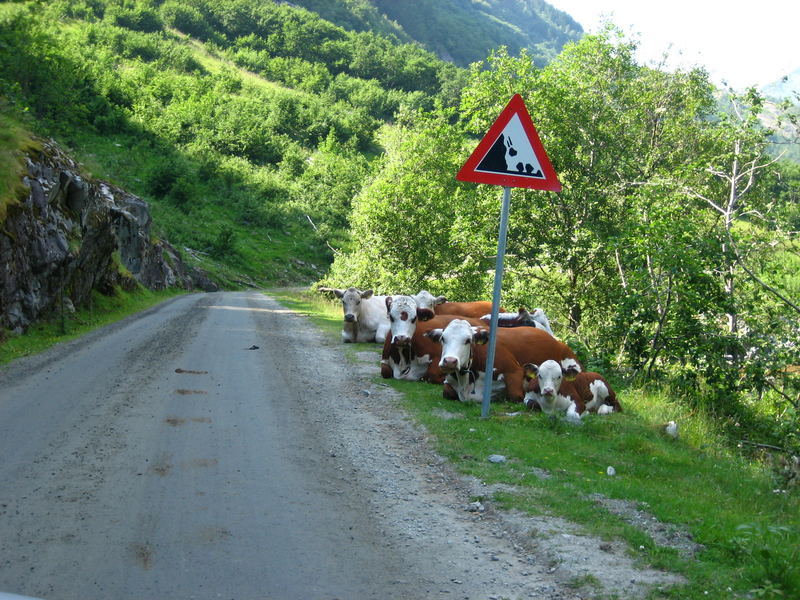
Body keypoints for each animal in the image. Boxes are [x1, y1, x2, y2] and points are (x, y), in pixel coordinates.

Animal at [424, 318, 580, 404]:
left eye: (468, 340)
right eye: (443, 338)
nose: (449, 361)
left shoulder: (514, 370)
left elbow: (515, 395)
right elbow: (447, 392)